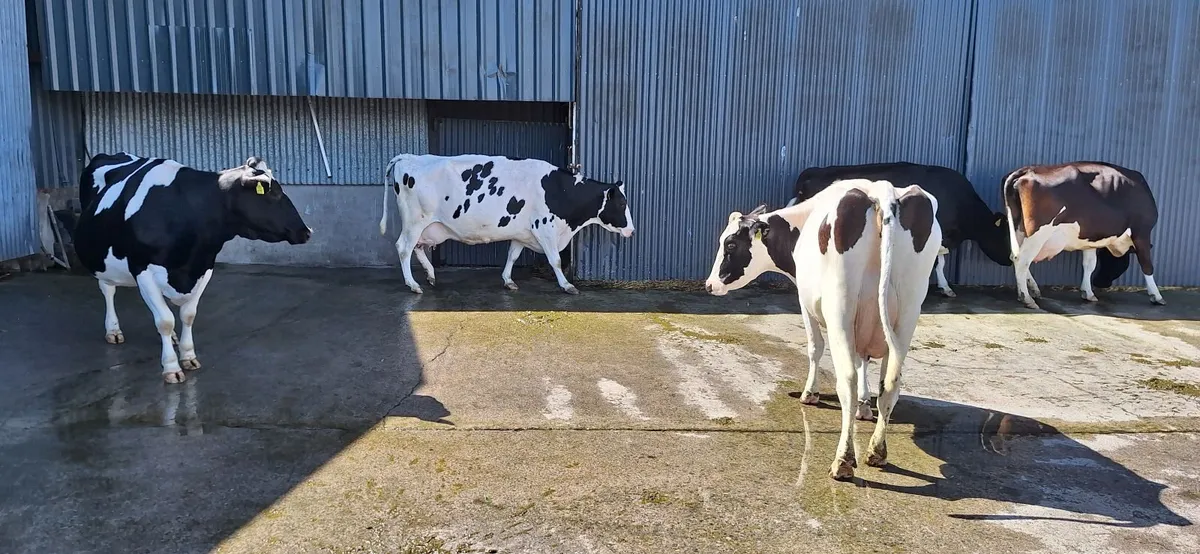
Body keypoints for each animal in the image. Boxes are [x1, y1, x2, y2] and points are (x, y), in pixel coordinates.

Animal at [74, 153, 312, 383]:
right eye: (274, 194)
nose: (307, 231)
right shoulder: (143, 270)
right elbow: (165, 321)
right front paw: (171, 368)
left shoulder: (204, 267)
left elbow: (188, 315)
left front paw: (188, 356)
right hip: (101, 258)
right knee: (108, 290)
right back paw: (113, 330)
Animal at [379, 154, 635, 294]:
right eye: (622, 203)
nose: (632, 230)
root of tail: (409, 156)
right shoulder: (545, 227)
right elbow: (555, 259)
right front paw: (567, 285)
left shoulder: (522, 233)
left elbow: (512, 255)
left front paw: (508, 280)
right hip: (414, 221)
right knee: (404, 247)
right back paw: (413, 284)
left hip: (426, 227)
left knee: (417, 248)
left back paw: (431, 275)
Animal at [706, 179, 942, 480]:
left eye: (731, 244)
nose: (710, 284)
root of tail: (882, 190)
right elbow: (863, 362)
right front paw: (865, 406)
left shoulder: (805, 302)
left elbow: (815, 348)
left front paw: (810, 394)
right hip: (907, 312)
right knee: (891, 382)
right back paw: (877, 451)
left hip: (840, 307)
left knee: (847, 381)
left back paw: (843, 460)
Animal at [1001, 161, 1164, 309]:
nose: (1101, 282)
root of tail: (1027, 170)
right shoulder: (1142, 232)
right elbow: (1147, 265)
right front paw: (1156, 295)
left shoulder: (1090, 240)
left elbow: (1089, 265)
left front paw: (1088, 292)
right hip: (1038, 232)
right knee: (1022, 260)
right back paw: (1027, 298)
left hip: (1019, 229)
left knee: (1014, 256)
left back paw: (1033, 289)